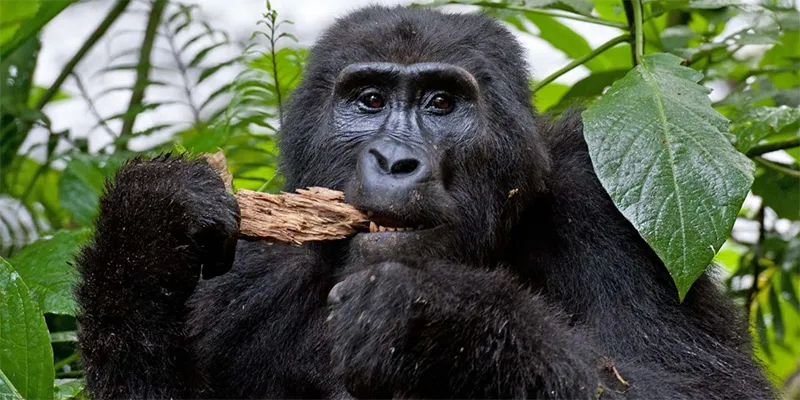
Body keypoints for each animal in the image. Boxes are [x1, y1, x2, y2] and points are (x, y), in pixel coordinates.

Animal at [75, 3, 776, 400]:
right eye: (370, 101)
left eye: (441, 103)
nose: (395, 161)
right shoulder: (244, 273)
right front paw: (146, 230)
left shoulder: (603, 207)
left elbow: (699, 386)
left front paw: (439, 322)